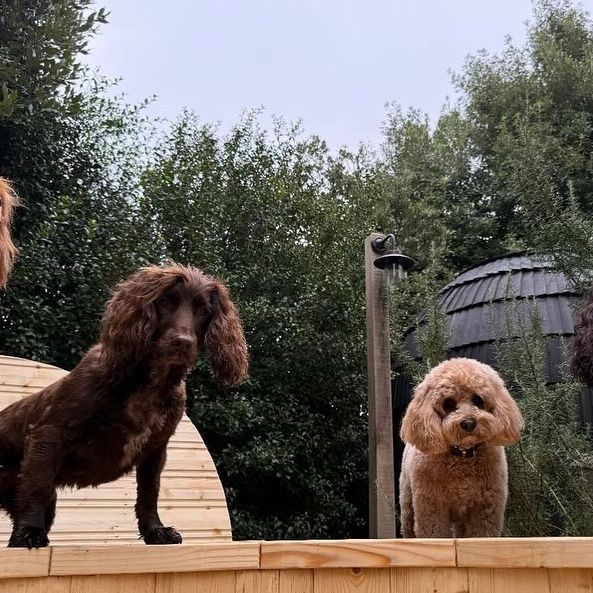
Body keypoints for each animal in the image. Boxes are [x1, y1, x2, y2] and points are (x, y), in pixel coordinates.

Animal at [0, 264, 247, 544]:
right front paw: (30, 532)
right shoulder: (49, 432)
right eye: (164, 302)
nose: (182, 342)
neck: (148, 384)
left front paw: (155, 531)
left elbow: (149, 493)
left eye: (204, 310)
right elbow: (38, 485)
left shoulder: (155, 450)